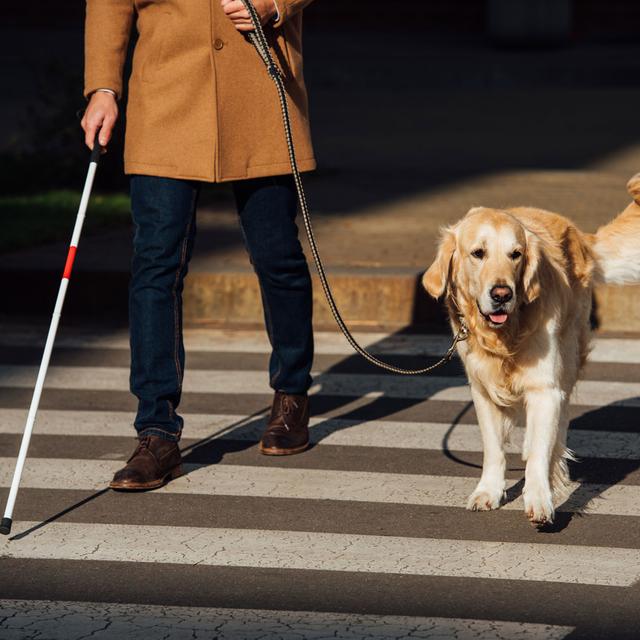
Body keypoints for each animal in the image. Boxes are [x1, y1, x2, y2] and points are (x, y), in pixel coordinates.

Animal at [422, 175, 636, 524]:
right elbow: (494, 448)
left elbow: (539, 451)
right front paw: (488, 490)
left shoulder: (544, 387)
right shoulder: (482, 390)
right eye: (478, 253)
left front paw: (539, 498)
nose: (502, 294)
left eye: (516, 254)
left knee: (559, 423)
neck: (505, 336)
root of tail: (577, 232)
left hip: (568, 354)